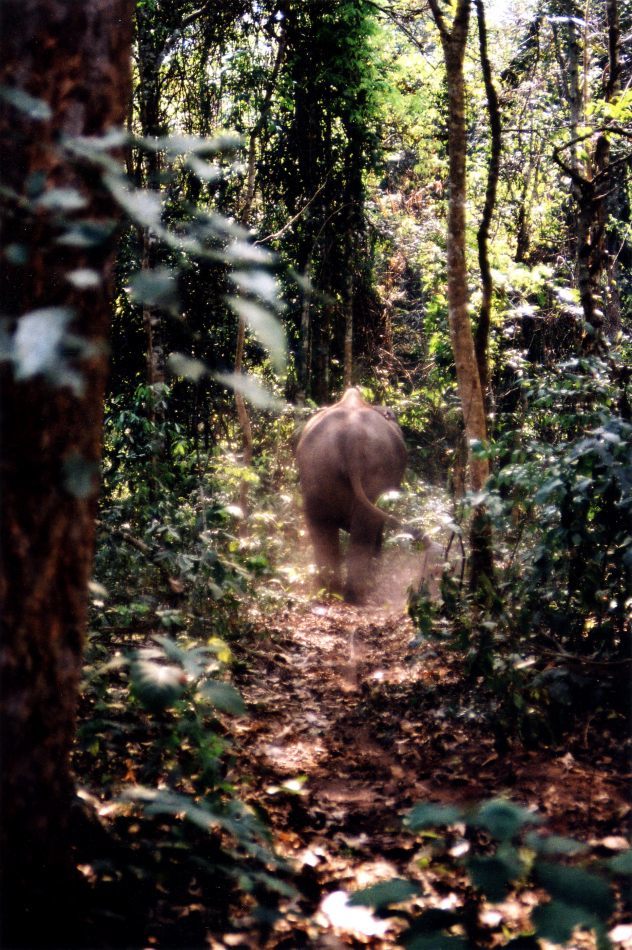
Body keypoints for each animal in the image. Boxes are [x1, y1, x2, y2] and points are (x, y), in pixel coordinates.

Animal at [296, 386, 408, 604]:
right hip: (373, 468)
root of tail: (352, 440)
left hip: (318, 467)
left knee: (320, 523)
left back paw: (330, 592)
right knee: (365, 526)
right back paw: (357, 595)